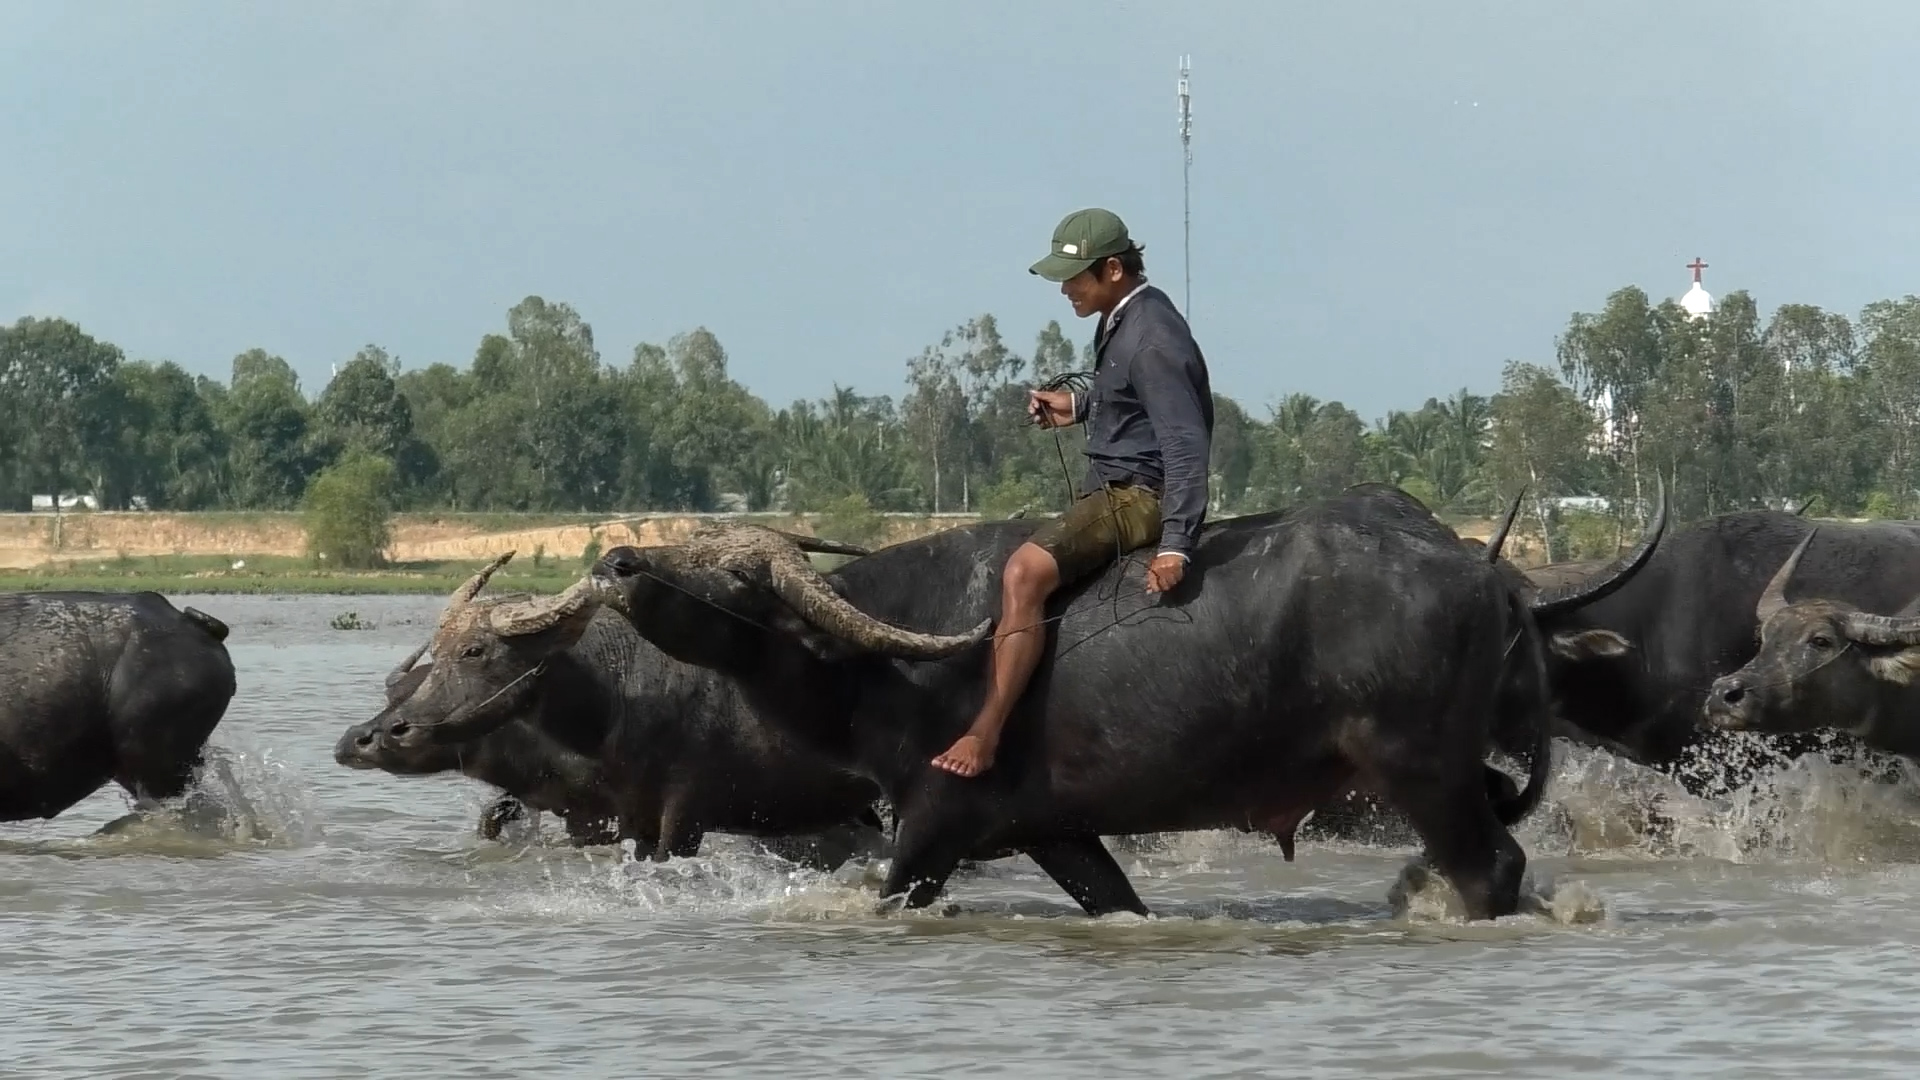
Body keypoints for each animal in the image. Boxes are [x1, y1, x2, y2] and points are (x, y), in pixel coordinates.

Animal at [416, 488, 1605, 914]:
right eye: (679, 549)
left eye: (740, 578)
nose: (619, 562)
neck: (886, 659)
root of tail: (1488, 575)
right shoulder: (1055, 829)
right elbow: (1115, 901)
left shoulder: (931, 822)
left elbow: (892, 888)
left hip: (1424, 773)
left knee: (1494, 867)